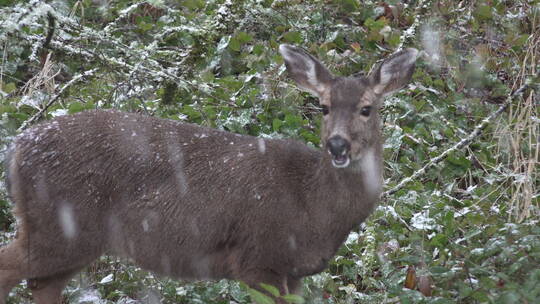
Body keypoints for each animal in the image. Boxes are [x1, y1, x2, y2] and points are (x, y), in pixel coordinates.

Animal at [0, 45, 418, 304]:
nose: (337, 145)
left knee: (42, 285)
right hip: (59, 228)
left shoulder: (295, 270)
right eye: (324, 106)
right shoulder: (258, 256)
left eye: (366, 109)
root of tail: (19, 148)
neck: (313, 206)